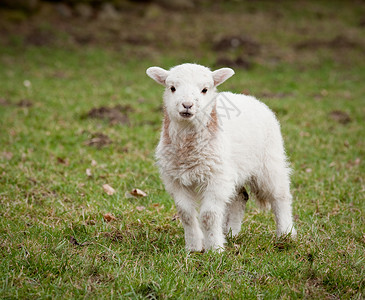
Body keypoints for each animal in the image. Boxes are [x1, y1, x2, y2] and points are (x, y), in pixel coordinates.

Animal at [145, 63, 296, 253]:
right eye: (172, 88)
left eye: (204, 89)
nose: (187, 105)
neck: (187, 149)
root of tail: (250, 98)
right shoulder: (176, 179)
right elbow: (186, 214)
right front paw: (194, 247)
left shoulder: (216, 178)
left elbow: (209, 215)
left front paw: (215, 249)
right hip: (234, 169)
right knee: (240, 197)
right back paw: (230, 233)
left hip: (270, 160)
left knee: (280, 196)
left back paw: (286, 234)